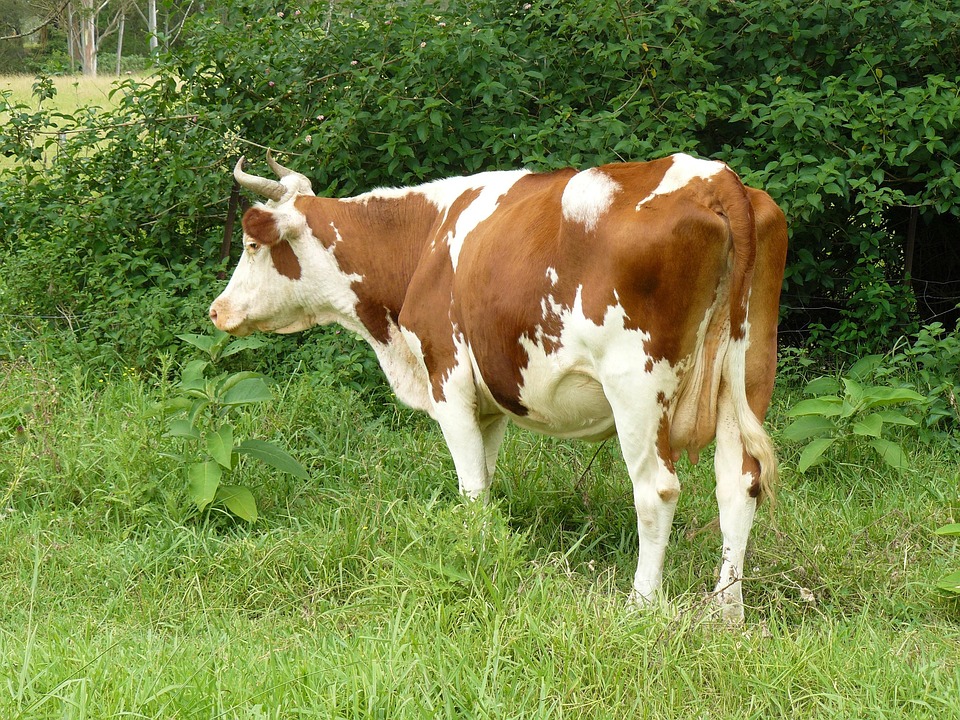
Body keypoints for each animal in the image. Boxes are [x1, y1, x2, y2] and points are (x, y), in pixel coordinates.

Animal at [210, 151, 788, 622]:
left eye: (252, 244)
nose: (217, 310)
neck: (421, 243)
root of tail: (712, 177)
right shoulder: (486, 404)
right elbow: (485, 481)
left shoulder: (447, 378)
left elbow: (472, 487)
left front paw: (476, 562)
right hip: (750, 372)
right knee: (739, 485)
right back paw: (727, 612)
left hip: (637, 384)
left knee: (657, 489)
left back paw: (641, 604)